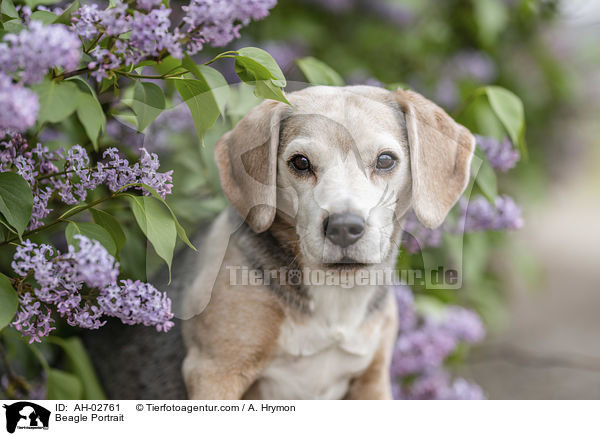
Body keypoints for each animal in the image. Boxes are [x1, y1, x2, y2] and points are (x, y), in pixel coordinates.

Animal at [178, 84, 474, 398]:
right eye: (300, 162)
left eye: (385, 160)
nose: (344, 228)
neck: (337, 293)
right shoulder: (214, 372)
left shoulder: (373, 380)